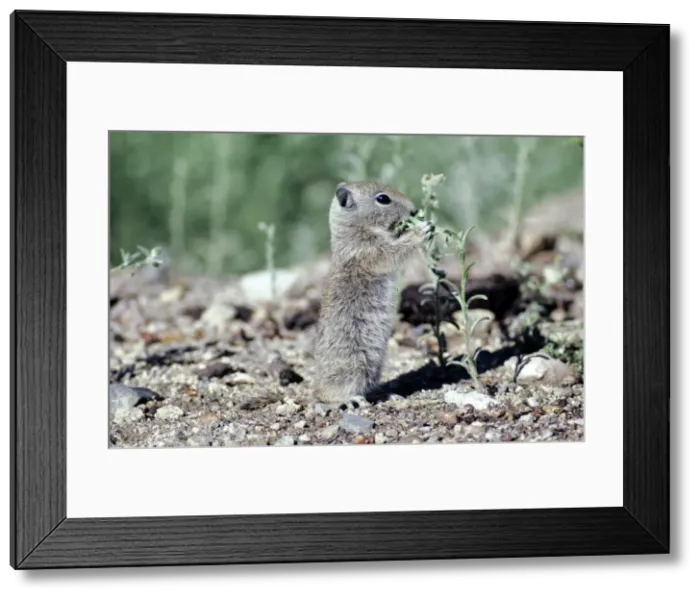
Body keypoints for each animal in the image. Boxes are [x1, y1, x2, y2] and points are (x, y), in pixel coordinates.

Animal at [313, 180, 433, 408]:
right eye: (383, 198)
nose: (414, 210)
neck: (355, 230)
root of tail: (317, 390)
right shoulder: (372, 252)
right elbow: (395, 250)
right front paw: (421, 230)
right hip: (355, 365)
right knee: (333, 395)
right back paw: (350, 400)